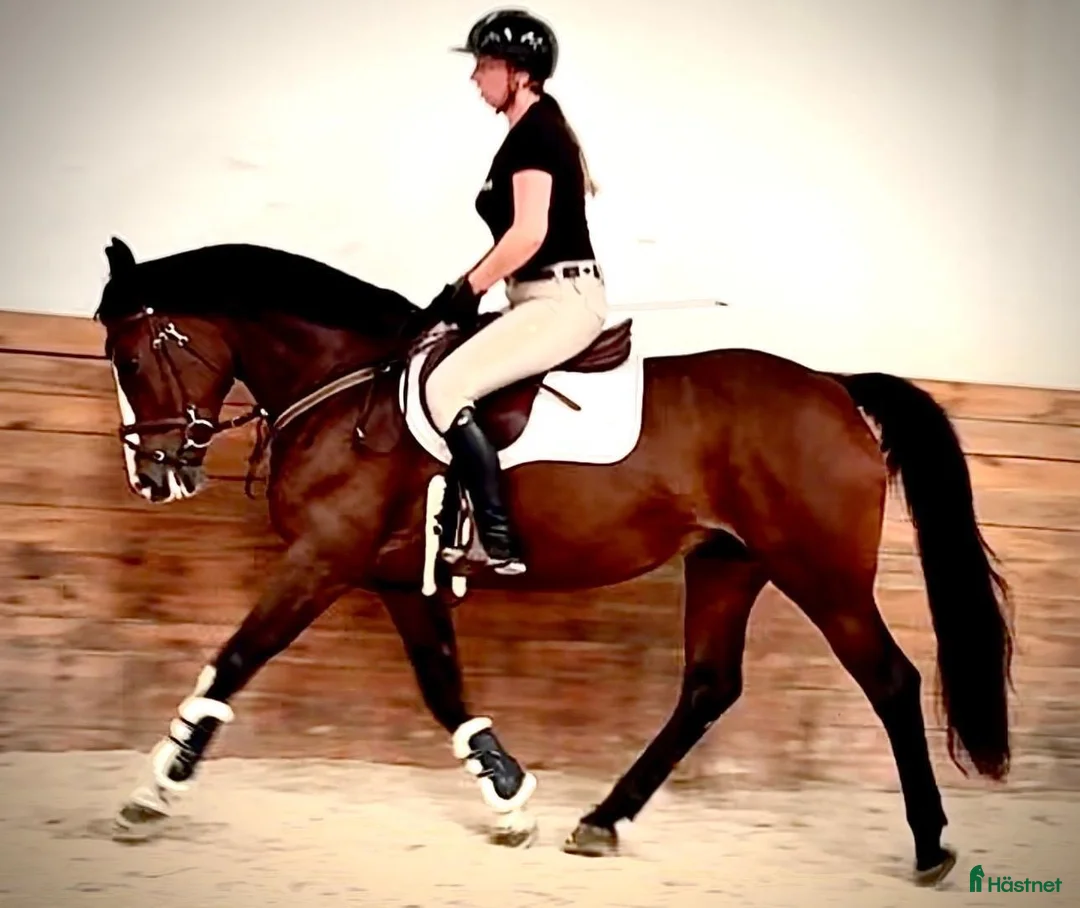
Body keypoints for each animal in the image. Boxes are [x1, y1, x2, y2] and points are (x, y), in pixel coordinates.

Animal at [93, 235, 1012, 885]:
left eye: (131, 359)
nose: (154, 476)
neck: (345, 384)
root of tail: (832, 384)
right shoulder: (395, 577)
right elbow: (443, 687)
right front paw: (508, 800)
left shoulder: (324, 558)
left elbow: (234, 660)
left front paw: (154, 790)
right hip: (728, 563)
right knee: (709, 686)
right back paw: (602, 821)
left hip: (820, 573)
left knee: (890, 680)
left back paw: (930, 846)